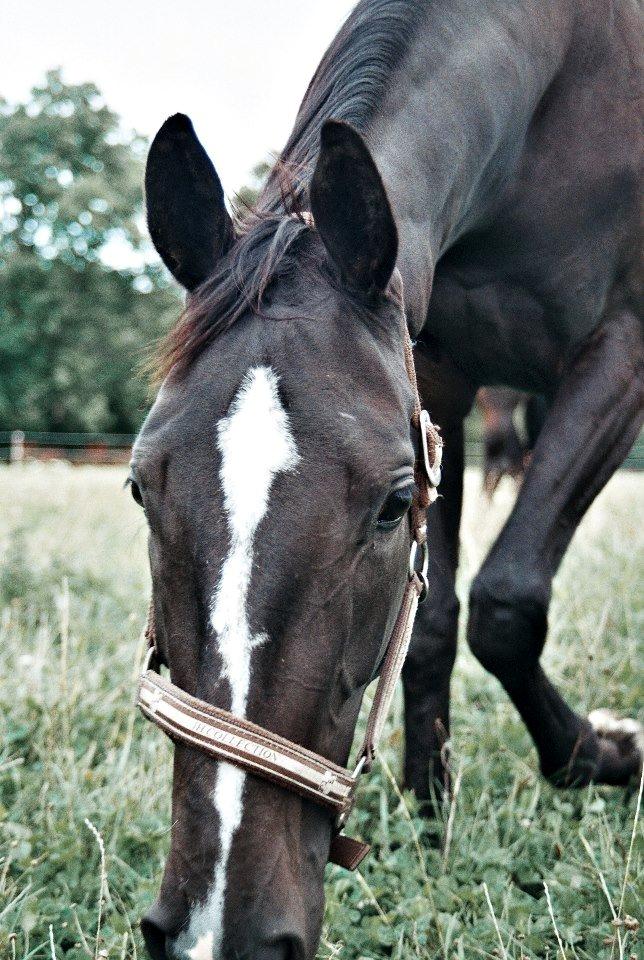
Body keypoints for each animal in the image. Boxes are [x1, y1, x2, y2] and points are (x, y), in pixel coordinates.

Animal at [132, 3, 644, 956]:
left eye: (391, 503)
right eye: (141, 486)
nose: (220, 929)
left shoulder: (620, 354)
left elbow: (506, 605)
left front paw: (604, 753)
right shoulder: (435, 381)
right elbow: (434, 622)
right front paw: (430, 801)